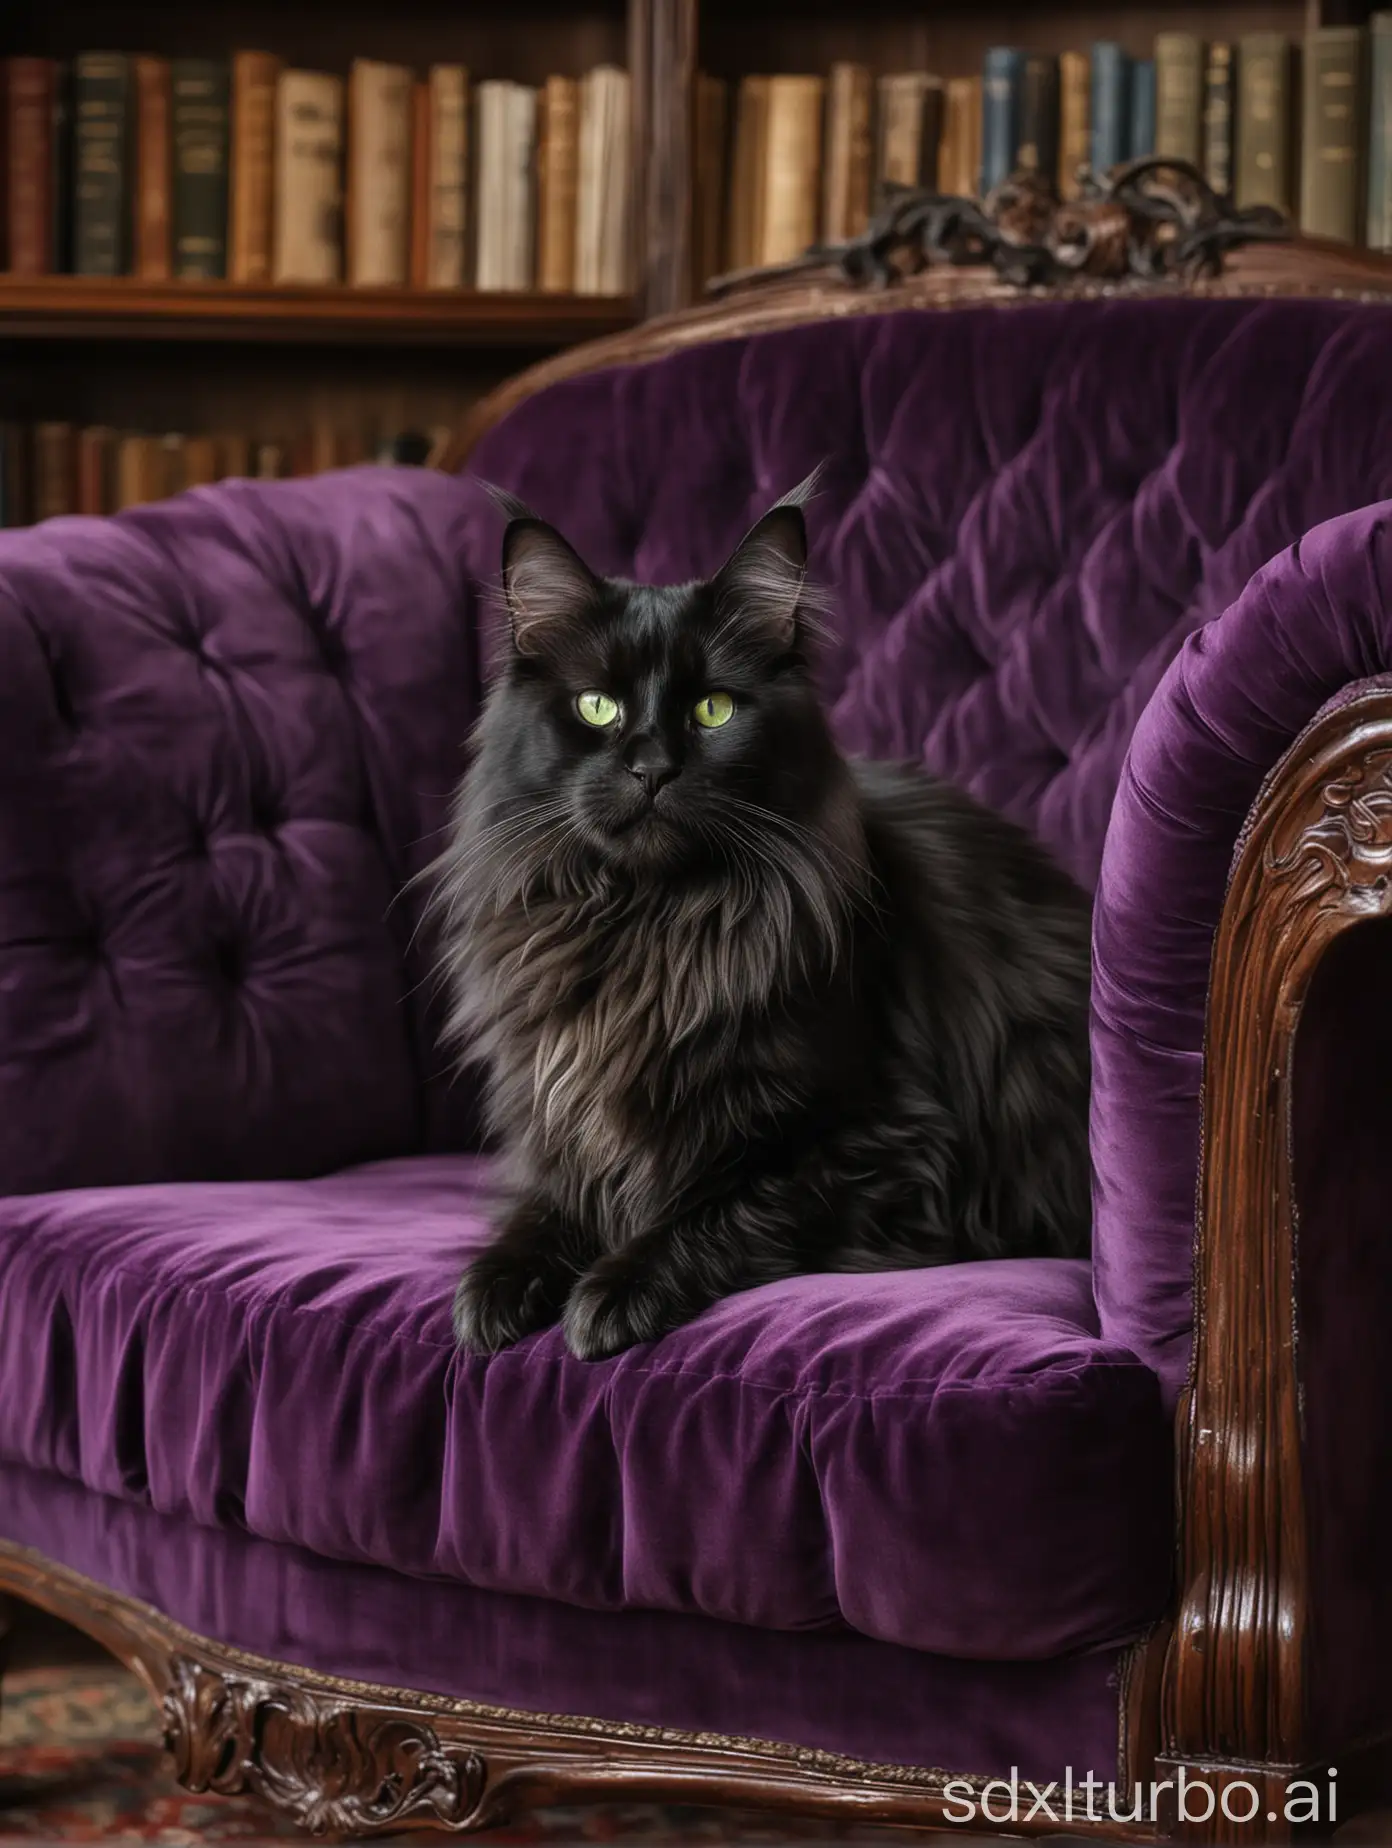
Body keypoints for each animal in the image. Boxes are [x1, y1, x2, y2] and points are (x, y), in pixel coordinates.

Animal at [428, 484, 1094, 1367]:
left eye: (713, 710)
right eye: (597, 707)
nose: (651, 769)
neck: (650, 925)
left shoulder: (882, 1141)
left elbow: (709, 1209)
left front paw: (608, 1293)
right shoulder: (562, 1120)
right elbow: (543, 1210)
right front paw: (494, 1288)